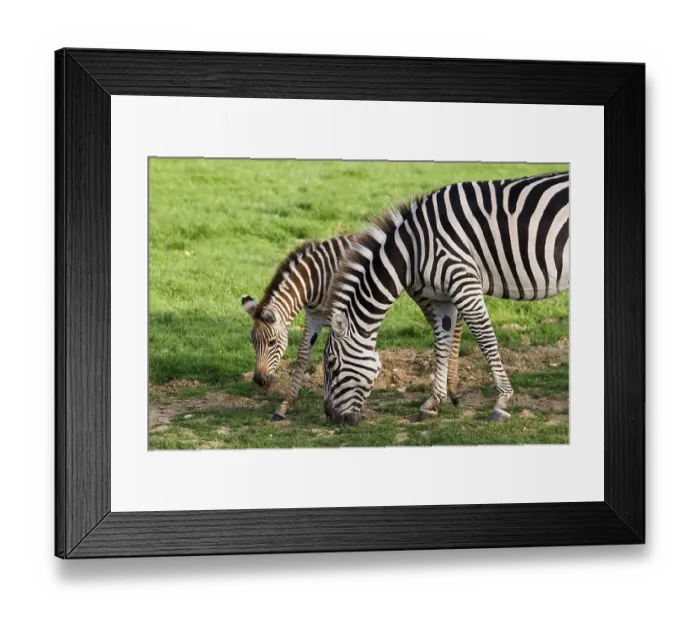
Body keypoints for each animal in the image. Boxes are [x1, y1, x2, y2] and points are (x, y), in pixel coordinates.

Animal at [241, 235, 465, 421]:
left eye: (272, 342)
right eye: (253, 342)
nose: (259, 380)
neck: (315, 278)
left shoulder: (337, 315)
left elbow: (333, 355)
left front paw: (332, 406)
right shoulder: (313, 316)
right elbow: (304, 353)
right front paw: (285, 406)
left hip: (425, 293)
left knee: (453, 327)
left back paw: (452, 390)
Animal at [323, 171, 570, 426]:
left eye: (331, 364)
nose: (330, 416)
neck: (414, 250)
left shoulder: (463, 281)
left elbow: (486, 339)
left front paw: (502, 401)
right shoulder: (443, 297)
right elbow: (441, 344)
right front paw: (433, 403)